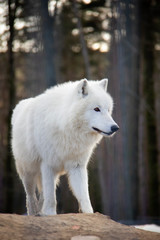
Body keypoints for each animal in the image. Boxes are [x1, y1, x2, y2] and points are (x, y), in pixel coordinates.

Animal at [11, 79, 119, 216]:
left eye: (108, 110)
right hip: (28, 172)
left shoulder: (77, 166)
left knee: (42, 195)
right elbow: (51, 197)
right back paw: (34, 213)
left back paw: (40, 212)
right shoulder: (47, 165)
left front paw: (89, 214)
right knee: (30, 196)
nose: (115, 128)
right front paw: (50, 214)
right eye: (96, 109)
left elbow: (84, 196)